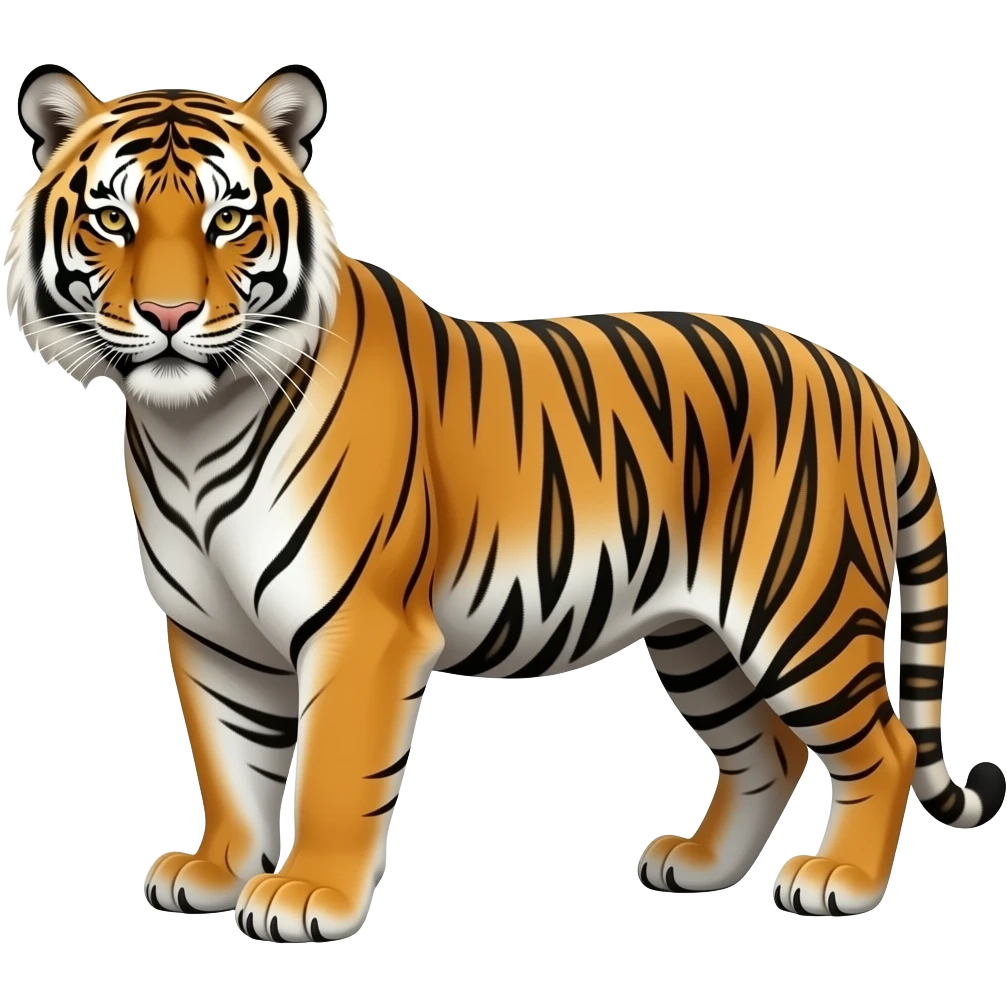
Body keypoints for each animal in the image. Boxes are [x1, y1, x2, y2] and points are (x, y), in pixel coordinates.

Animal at [5, 61, 1001, 942]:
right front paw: (216, 871)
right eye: (111, 218)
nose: (169, 317)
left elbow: (330, 770)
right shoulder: (211, 631)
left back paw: (841, 881)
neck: (191, 426)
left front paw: (307, 894)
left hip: (800, 610)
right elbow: (230, 760)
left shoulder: (361, 624)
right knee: (769, 750)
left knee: (882, 746)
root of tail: (861, 380)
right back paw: (699, 866)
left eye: (228, 220)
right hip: (698, 636)